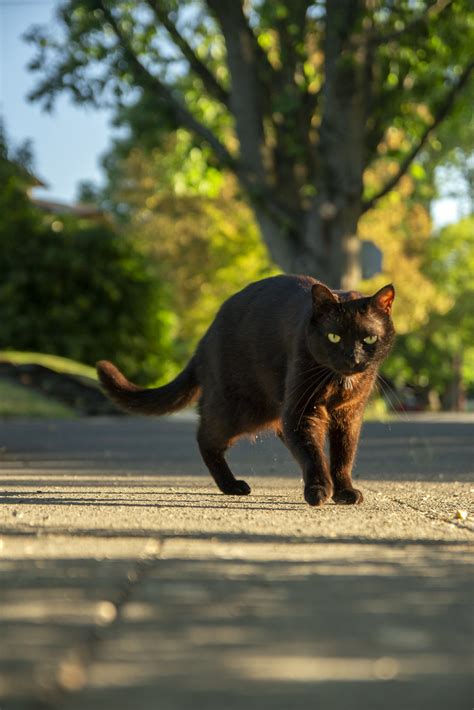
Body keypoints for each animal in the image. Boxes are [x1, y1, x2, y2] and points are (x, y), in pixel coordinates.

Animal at [98, 276, 394, 508]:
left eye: (369, 338)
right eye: (334, 337)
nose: (352, 359)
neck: (339, 382)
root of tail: (204, 339)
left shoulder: (348, 414)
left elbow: (344, 454)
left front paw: (344, 491)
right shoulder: (303, 409)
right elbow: (312, 452)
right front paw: (319, 490)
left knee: (283, 434)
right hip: (240, 410)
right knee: (206, 437)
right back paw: (231, 485)